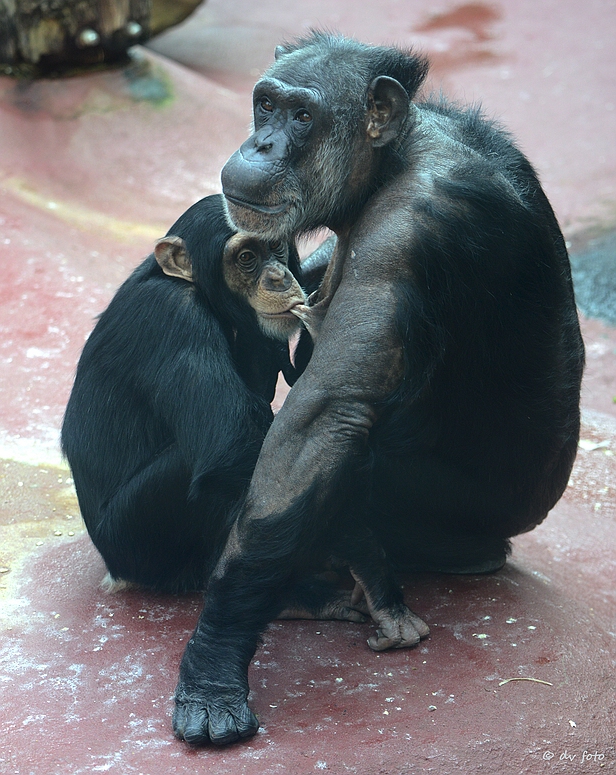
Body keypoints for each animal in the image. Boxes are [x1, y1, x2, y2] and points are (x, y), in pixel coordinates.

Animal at [62, 194, 312, 596]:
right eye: (246, 257)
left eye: (276, 246)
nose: (278, 276)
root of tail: (114, 571)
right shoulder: (174, 319)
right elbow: (230, 444)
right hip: (137, 539)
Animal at [171, 34, 584, 744]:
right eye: (265, 105)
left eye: (302, 117)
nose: (262, 144)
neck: (394, 161)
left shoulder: (403, 235)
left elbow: (322, 422)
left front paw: (213, 664)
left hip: (442, 505)